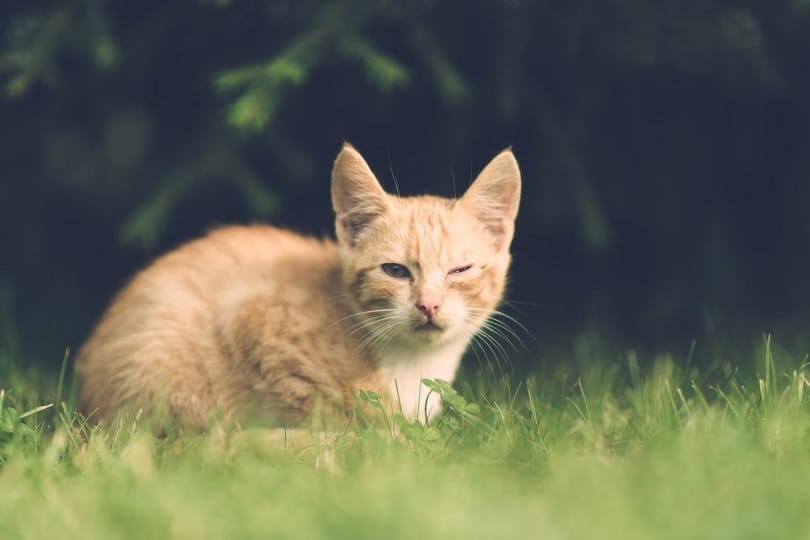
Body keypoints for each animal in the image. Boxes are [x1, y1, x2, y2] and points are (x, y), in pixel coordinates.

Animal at [74, 144, 516, 430]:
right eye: (395, 270)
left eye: (459, 270)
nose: (428, 305)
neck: (412, 363)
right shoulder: (250, 317)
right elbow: (321, 405)